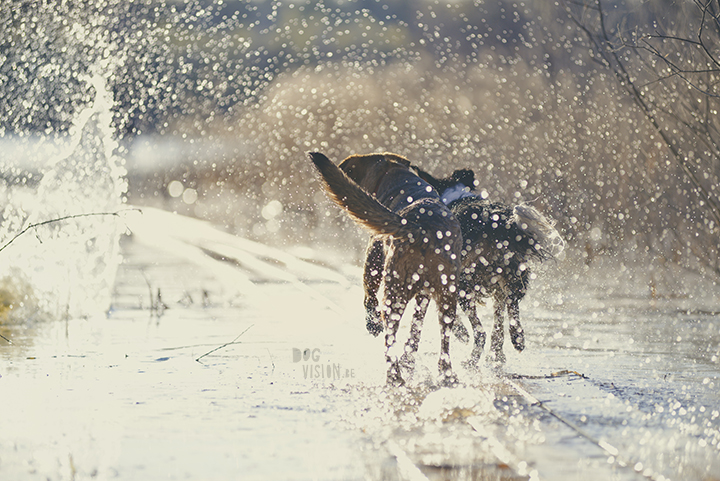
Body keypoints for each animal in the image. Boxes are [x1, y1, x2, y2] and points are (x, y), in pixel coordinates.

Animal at [308, 152, 462, 384]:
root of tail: (421, 229)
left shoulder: (374, 255)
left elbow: (368, 297)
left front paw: (372, 325)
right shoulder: (425, 296)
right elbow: (416, 329)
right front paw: (409, 360)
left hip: (394, 291)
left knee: (389, 337)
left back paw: (394, 375)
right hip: (446, 296)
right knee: (442, 338)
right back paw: (444, 374)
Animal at [416, 167, 568, 362]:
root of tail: (492, 223)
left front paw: (461, 333)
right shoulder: (498, 290)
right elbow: (498, 323)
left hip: (465, 283)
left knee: (480, 332)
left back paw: (472, 360)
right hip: (512, 278)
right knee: (510, 314)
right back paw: (514, 342)